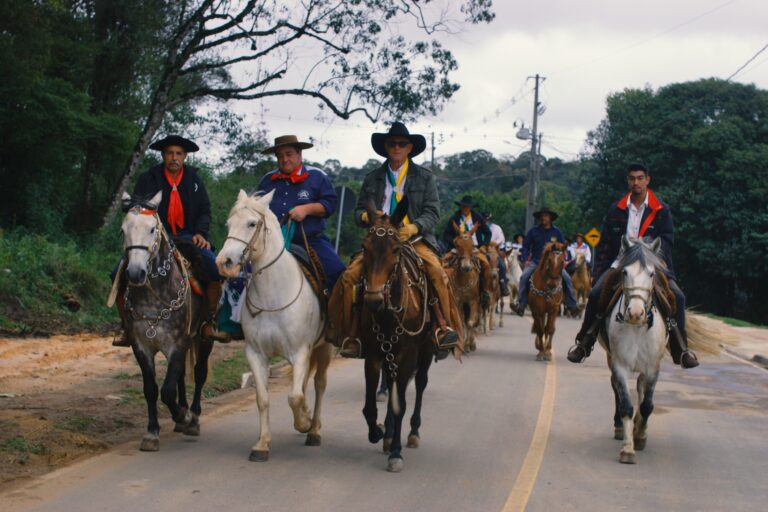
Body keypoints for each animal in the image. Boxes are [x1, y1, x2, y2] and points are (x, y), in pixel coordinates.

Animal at [115, 193, 212, 452]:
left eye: (151, 229)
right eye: (123, 230)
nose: (135, 273)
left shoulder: (177, 344)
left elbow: (167, 391)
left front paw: (184, 416)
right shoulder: (141, 346)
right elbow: (151, 389)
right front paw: (152, 432)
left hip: (203, 338)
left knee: (199, 372)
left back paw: (193, 416)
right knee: (180, 375)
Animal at [214, 190, 332, 462]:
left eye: (252, 224)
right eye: (229, 224)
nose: (224, 262)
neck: (273, 295)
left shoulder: (300, 352)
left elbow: (294, 396)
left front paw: (303, 423)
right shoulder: (256, 353)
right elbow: (263, 398)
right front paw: (262, 444)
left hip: (324, 348)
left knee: (319, 384)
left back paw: (314, 430)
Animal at [360, 196, 438, 472]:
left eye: (395, 249)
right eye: (364, 247)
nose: (373, 299)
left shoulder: (408, 354)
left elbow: (401, 404)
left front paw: (396, 453)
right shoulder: (373, 354)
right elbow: (370, 405)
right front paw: (379, 432)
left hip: (426, 351)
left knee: (421, 383)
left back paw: (412, 433)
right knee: (392, 384)